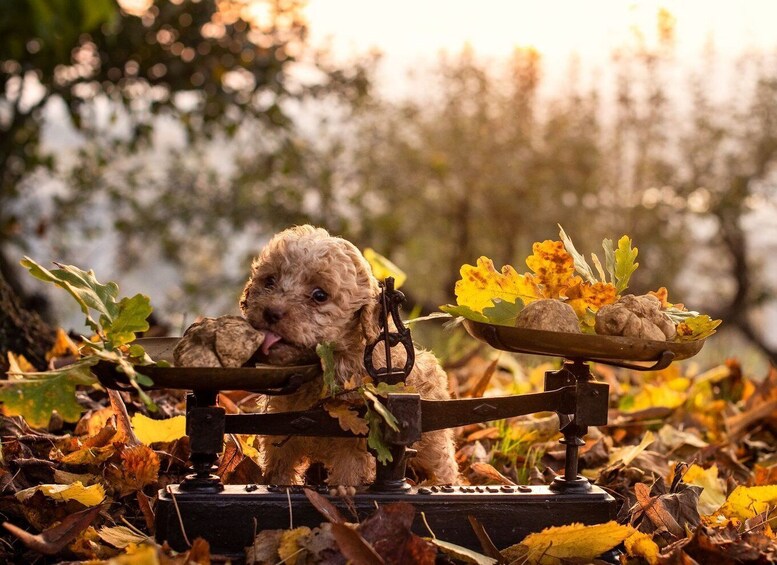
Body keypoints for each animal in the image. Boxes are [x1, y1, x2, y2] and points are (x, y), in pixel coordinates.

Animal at [239, 225, 458, 484]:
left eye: (319, 295)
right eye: (269, 281)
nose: (271, 312)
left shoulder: (355, 445)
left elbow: (347, 476)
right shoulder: (280, 433)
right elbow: (279, 470)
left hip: (434, 444)